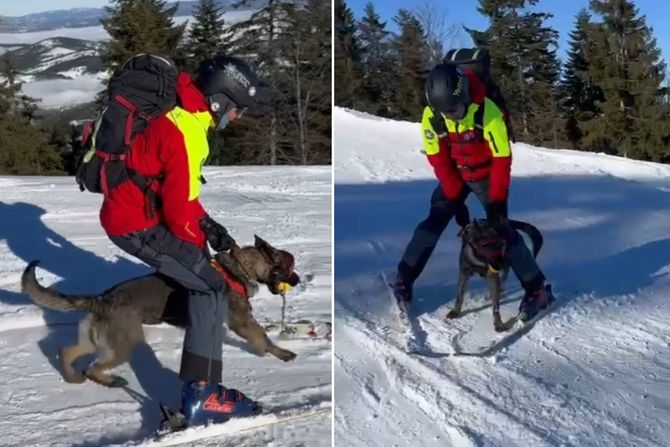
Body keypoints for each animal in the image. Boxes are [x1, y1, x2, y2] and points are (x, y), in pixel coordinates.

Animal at [22, 236, 302, 386]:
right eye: (289, 267)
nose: (299, 280)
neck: (240, 267)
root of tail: (101, 299)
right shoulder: (242, 322)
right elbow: (262, 338)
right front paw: (278, 353)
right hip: (125, 344)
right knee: (91, 368)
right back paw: (111, 382)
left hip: (96, 341)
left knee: (66, 352)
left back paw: (72, 378)